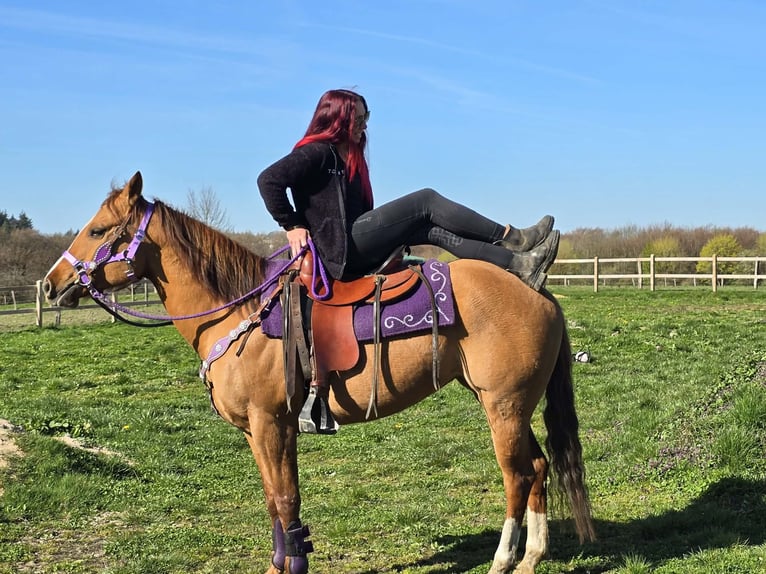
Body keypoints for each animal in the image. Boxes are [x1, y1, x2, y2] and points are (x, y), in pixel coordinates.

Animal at [43, 172, 595, 574]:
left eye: (98, 230)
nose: (51, 284)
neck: (239, 312)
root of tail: (537, 290)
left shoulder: (271, 423)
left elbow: (286, 498)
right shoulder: (263, 430)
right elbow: (275, 501)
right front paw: (281, 564)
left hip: (504, 405)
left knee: (517, 475)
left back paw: (503, 560)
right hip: (509, 404)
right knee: (539, 467)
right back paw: (531, 558)